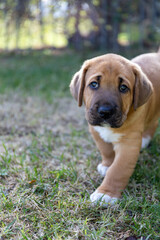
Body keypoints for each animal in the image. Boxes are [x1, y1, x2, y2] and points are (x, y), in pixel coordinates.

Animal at [69, 50, 160, 206]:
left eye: (123, 88)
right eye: (94, 84)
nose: (105, 112)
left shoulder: (128, 145)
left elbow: (118, 170)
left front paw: (105, 194)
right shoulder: (96, 131)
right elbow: (106, 150)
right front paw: (107, 165)